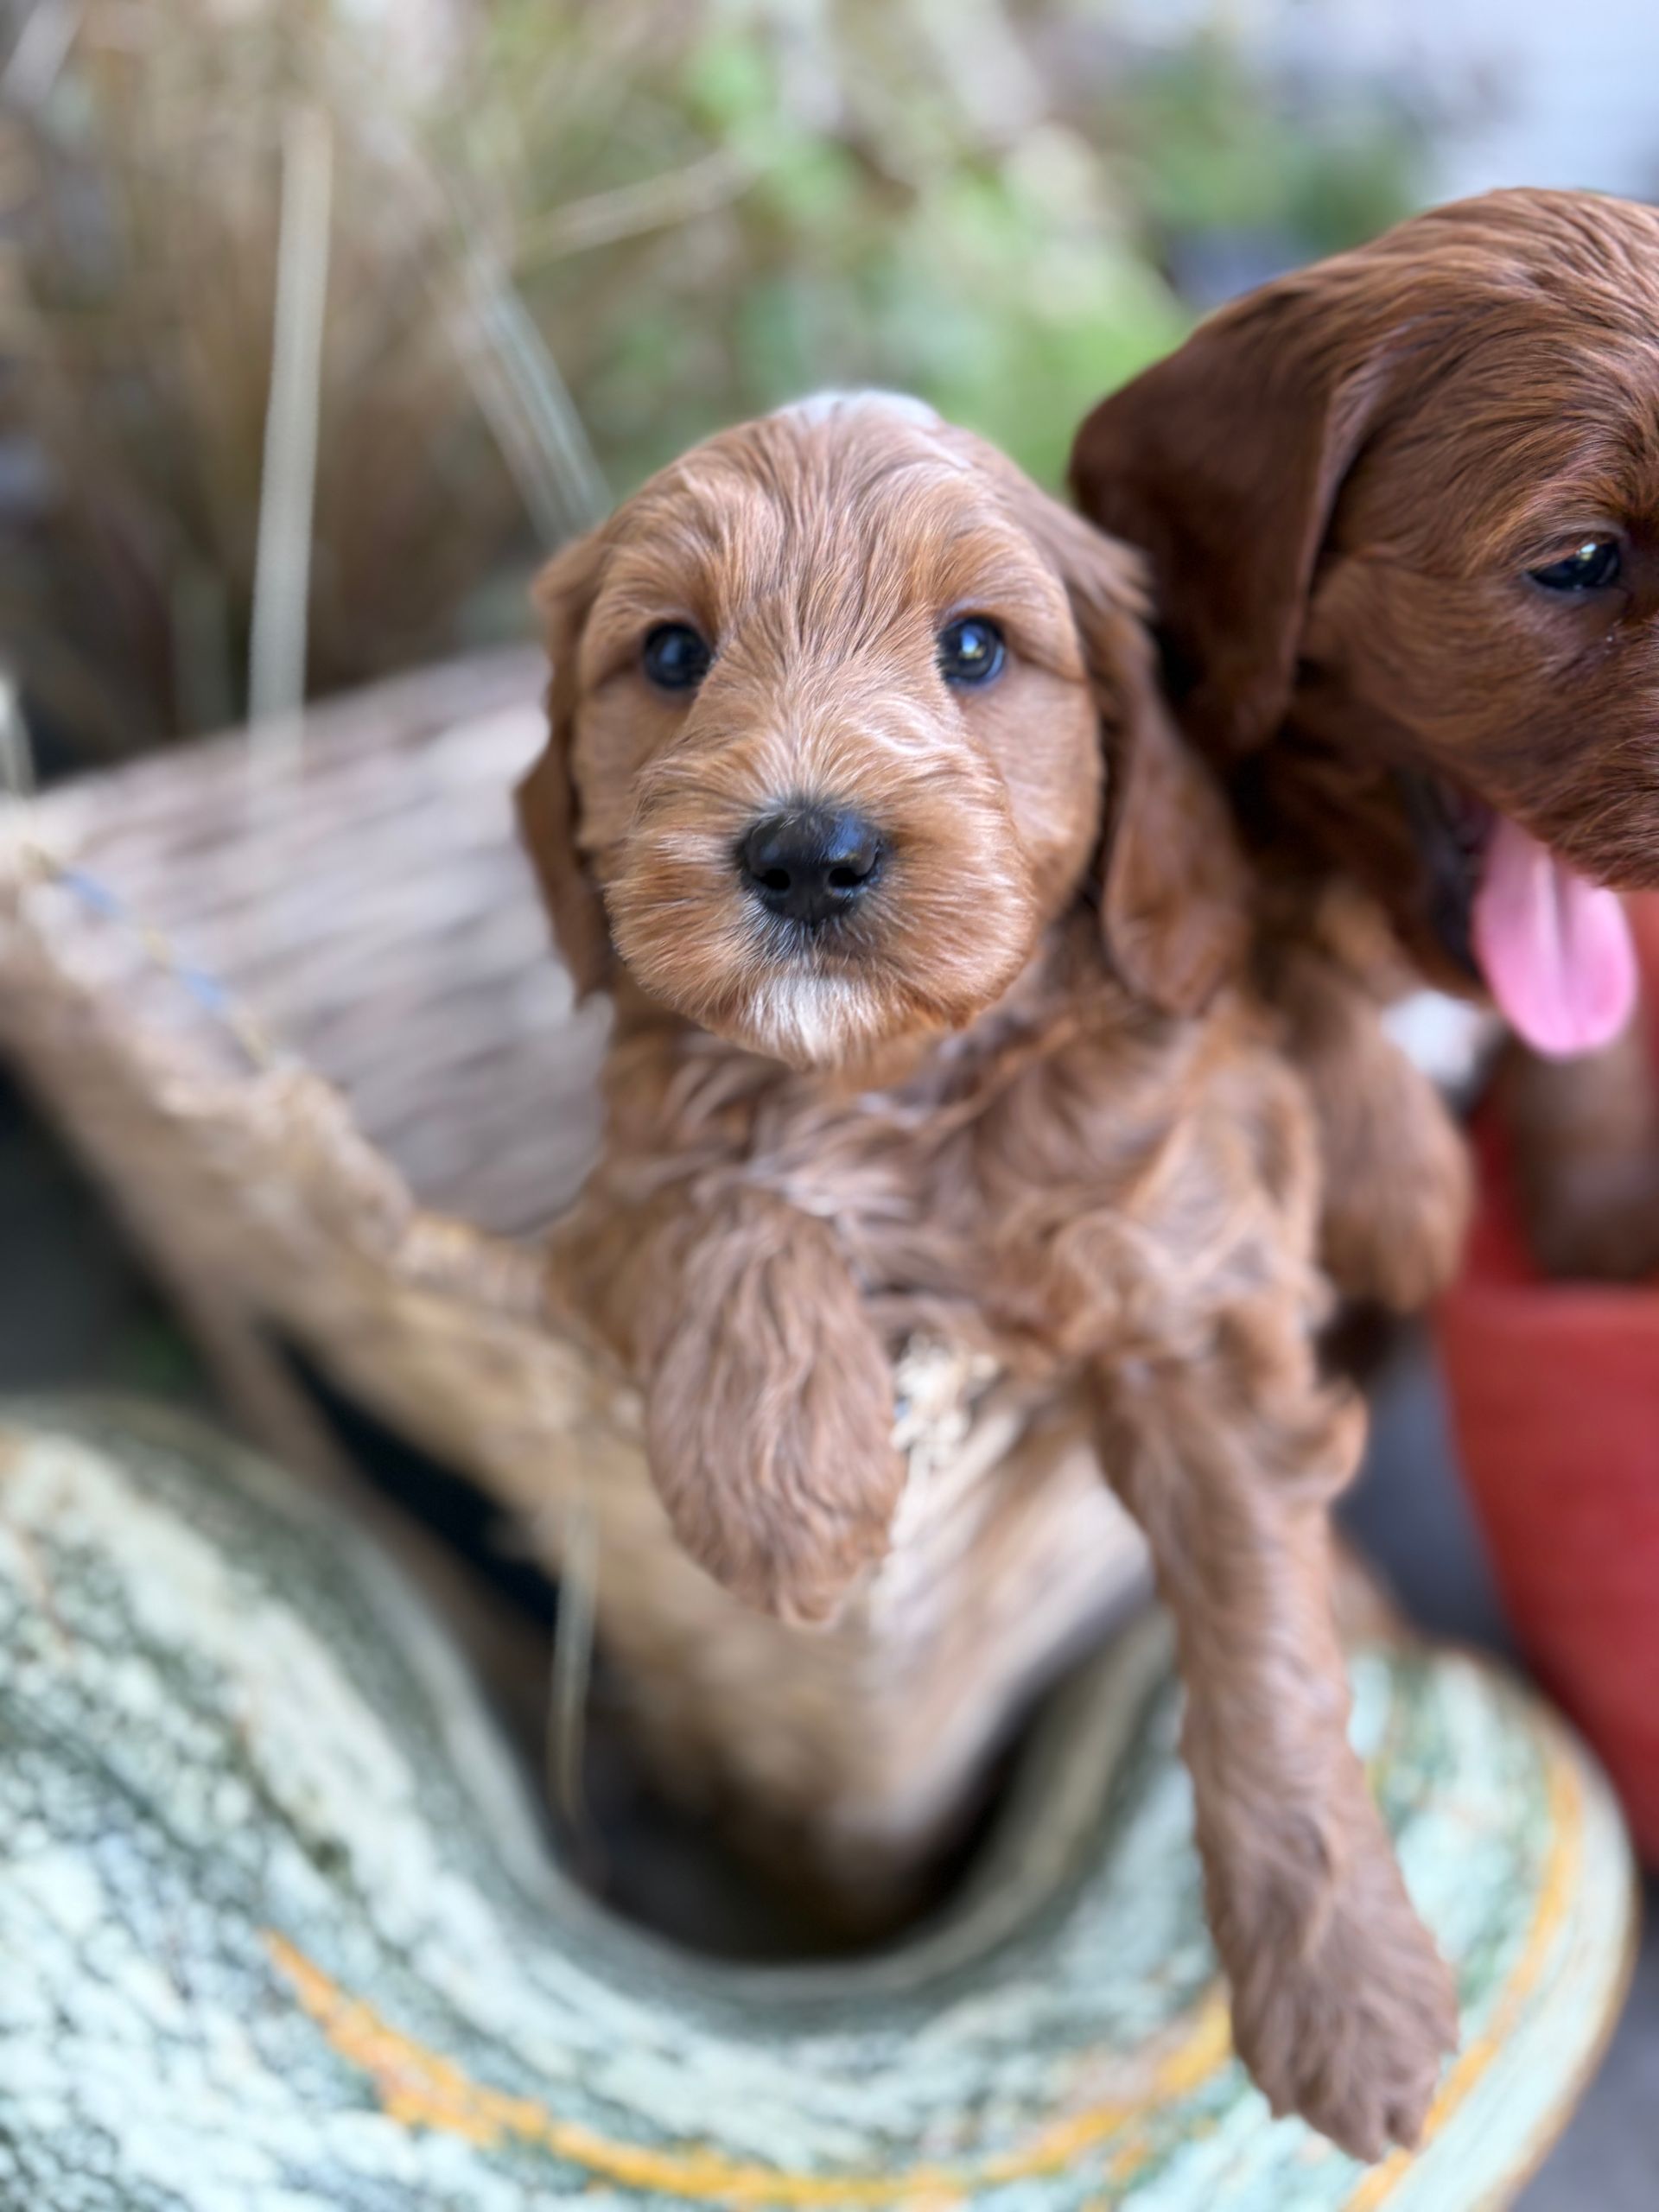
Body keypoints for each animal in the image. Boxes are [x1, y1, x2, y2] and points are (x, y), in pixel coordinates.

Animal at [517, 393, 1455, 2159]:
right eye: (671, 653)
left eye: (974, 647)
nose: (807, 851)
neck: (897, 1085)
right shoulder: (604, 1205)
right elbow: (733, 1209)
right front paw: (790, 1490)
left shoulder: (1192, 1307)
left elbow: (1265, 1654)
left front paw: (1347, 1988)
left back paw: (1404, 1180)